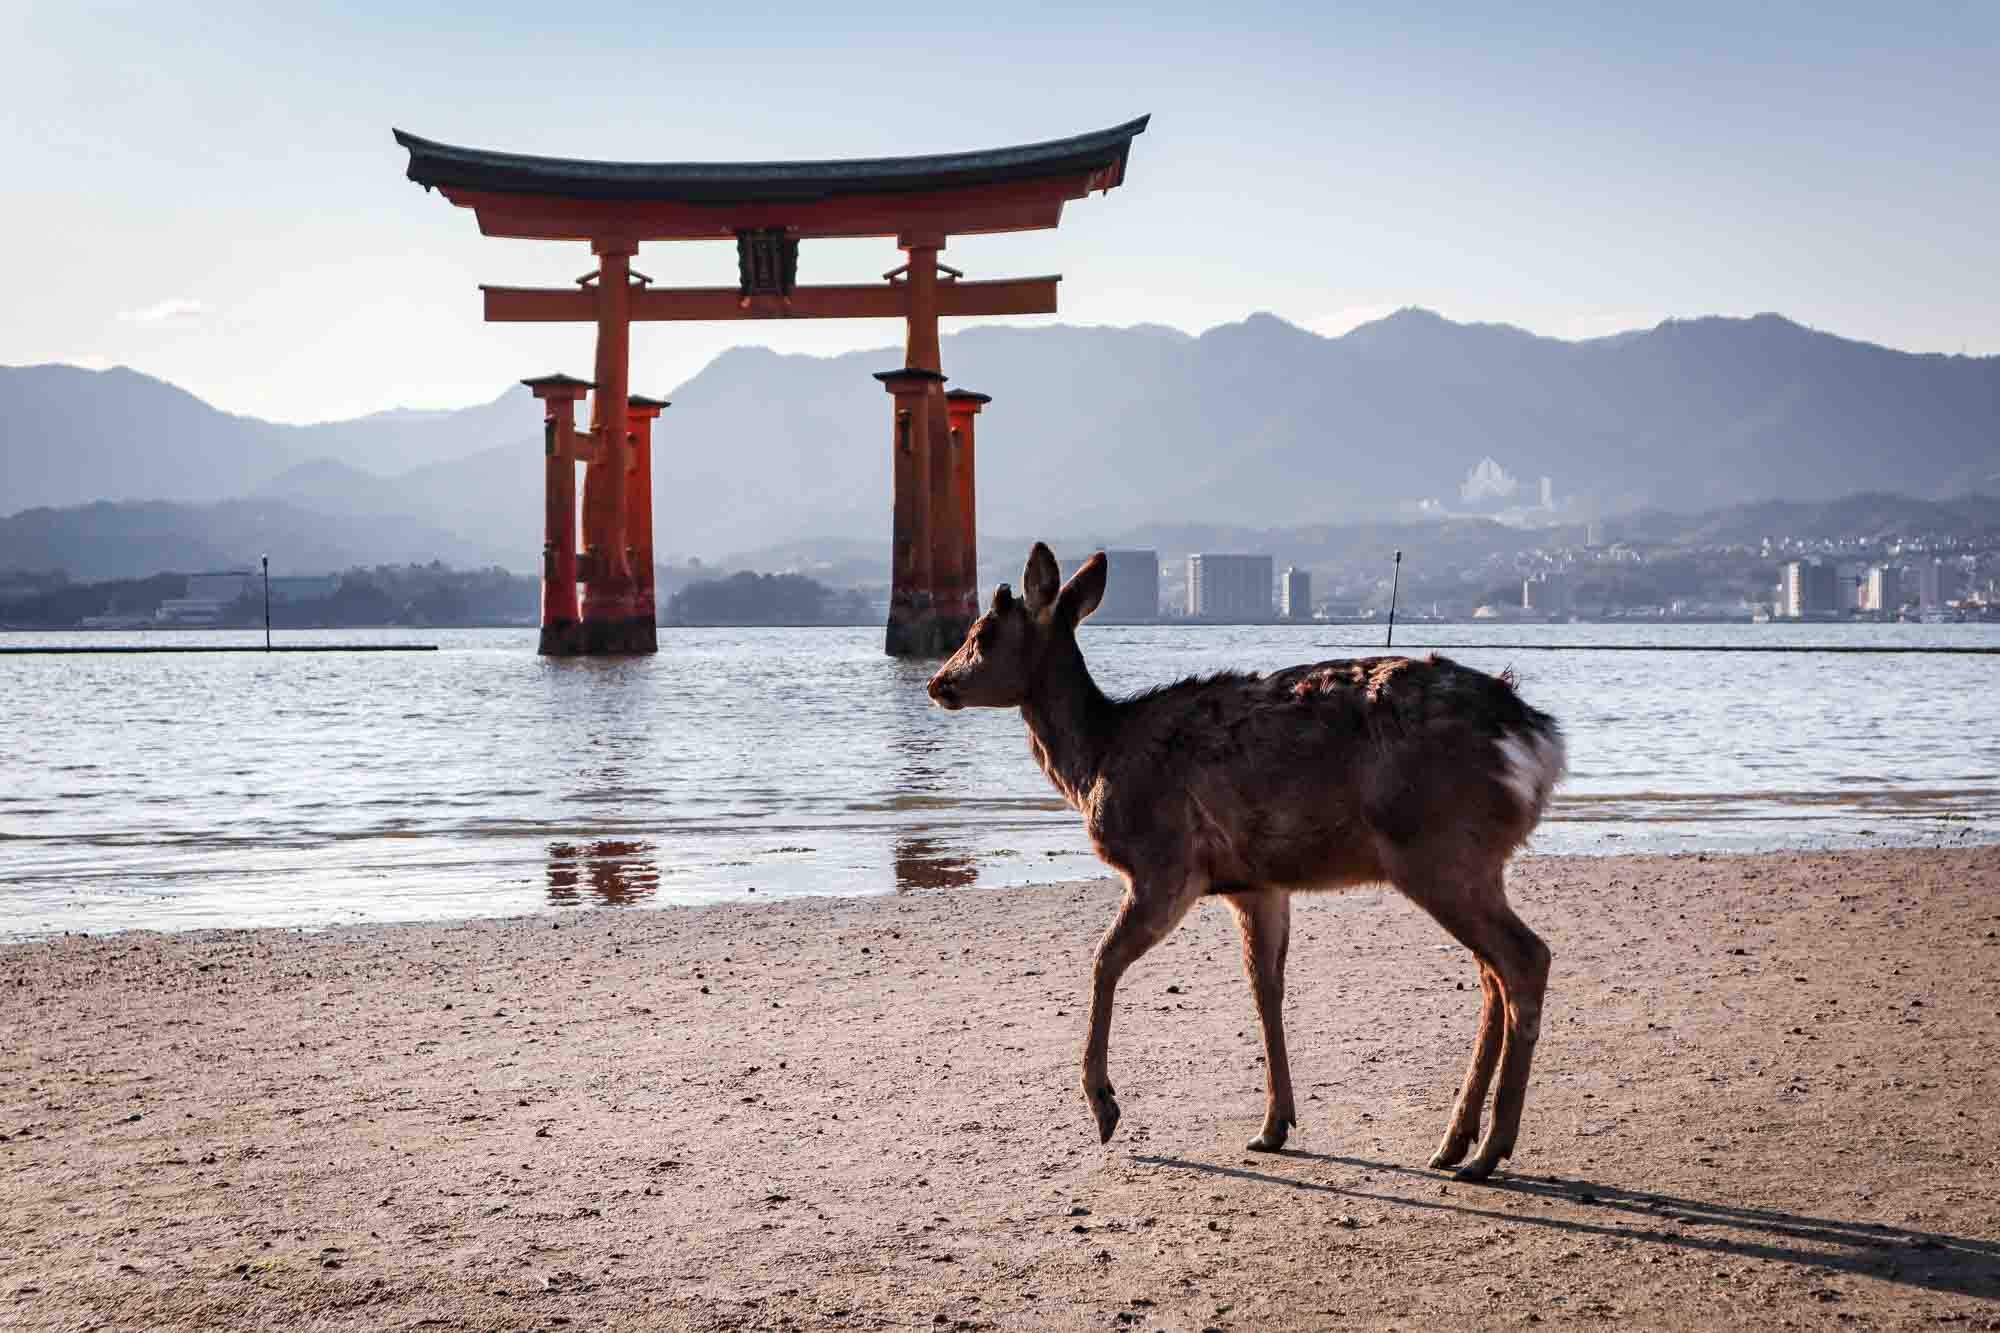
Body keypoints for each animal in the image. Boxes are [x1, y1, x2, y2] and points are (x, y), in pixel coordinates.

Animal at [920, 544, 1560, 1176]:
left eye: (982, 632)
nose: (936, 682)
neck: (1098, 761)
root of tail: (1539, 743)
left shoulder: (1165, 862)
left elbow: (1104, 961)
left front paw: (1104, 1107)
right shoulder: (1256, 884)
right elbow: (1265, 988)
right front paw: (1274, 1125)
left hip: (1434, 846)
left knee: (1525, 958)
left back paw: (1489, 1149)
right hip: (1470, 859)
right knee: (1492, 975)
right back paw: (1454, 1142)